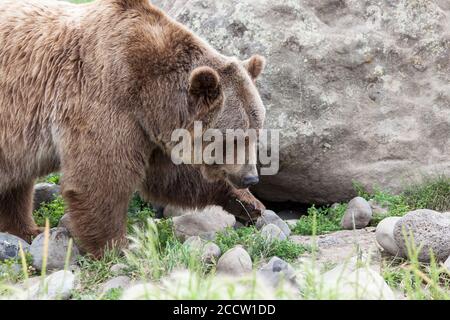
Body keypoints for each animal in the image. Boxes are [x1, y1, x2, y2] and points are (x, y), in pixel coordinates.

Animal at [0, 0, 266, 256]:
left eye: (256, 132)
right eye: (234, 137)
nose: (251, 177)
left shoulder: (150, 128)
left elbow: (171, 177)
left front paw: (248, 202)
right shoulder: (105, 95)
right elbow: (102, 176)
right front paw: (116, 246)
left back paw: (26, 230)